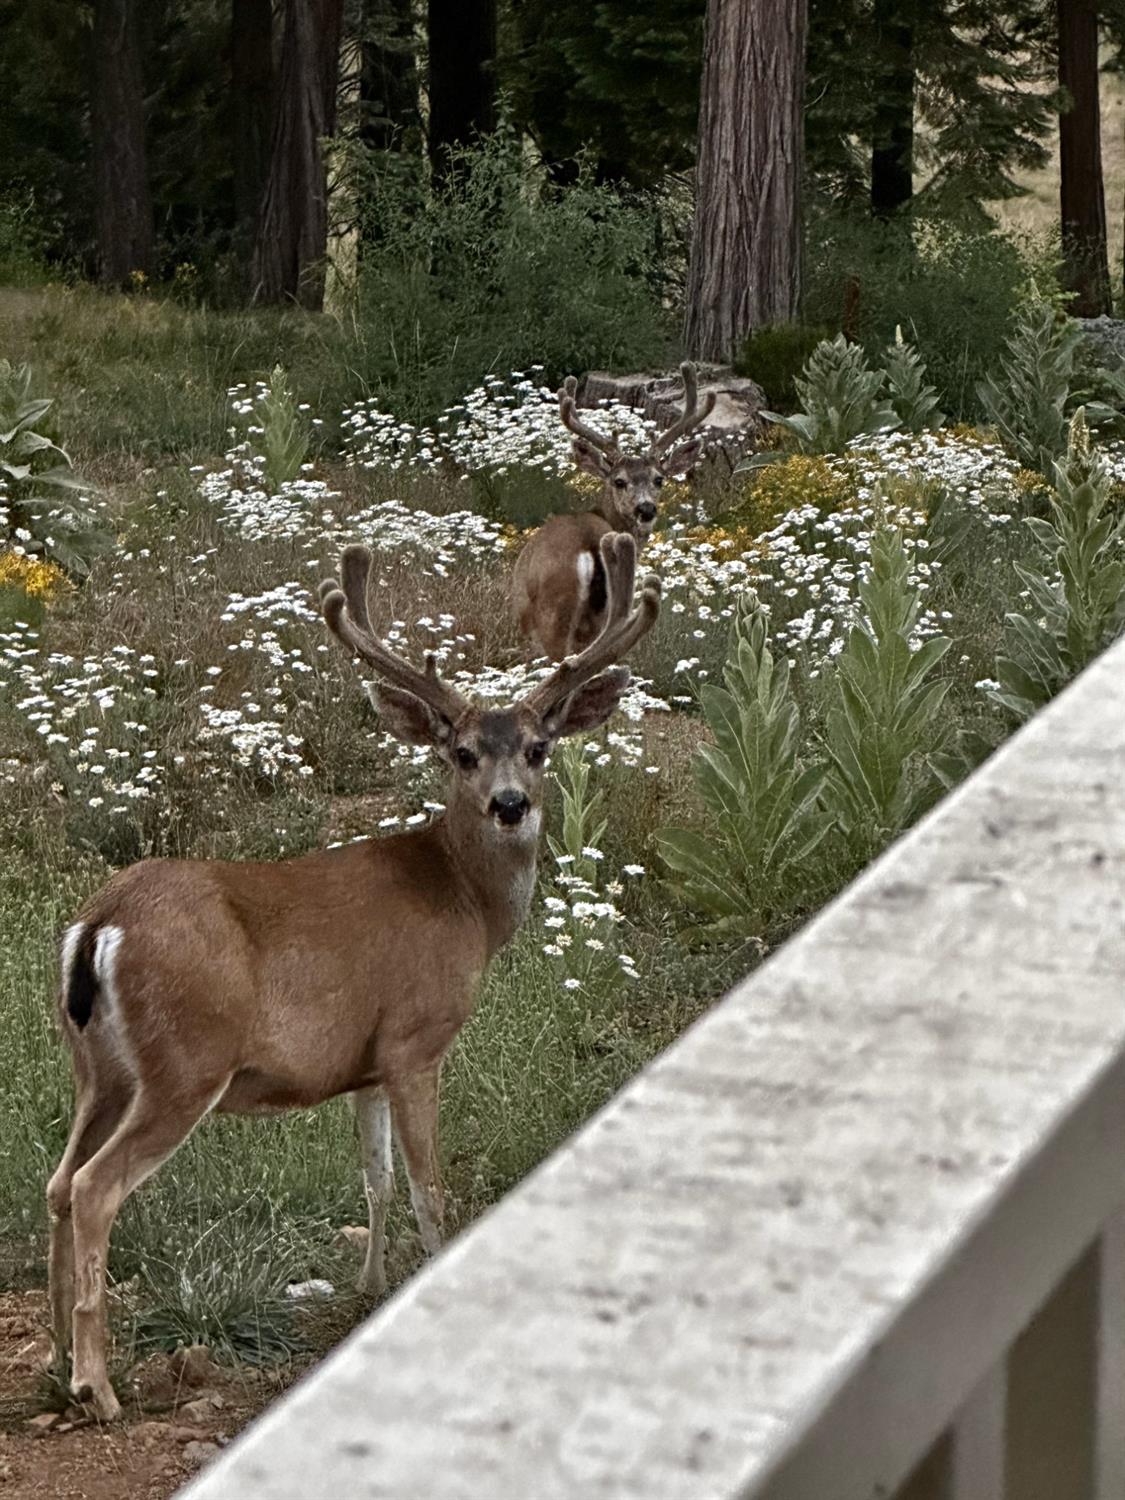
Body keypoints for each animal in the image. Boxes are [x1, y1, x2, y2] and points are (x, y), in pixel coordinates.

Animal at [44, 537, 660, 1416]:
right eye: (461, 753)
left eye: (538, 749)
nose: (510, 804)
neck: (464, 900)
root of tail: (101, 922)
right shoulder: (416, 1038)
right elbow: (427, 1186)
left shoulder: (363, 1062)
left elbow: (373, 1178)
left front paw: (370, 1286)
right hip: (184, 1061)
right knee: (96, 1188)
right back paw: (98, 1386)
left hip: (97, 1068)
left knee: (60, 1182)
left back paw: (56, 1356)